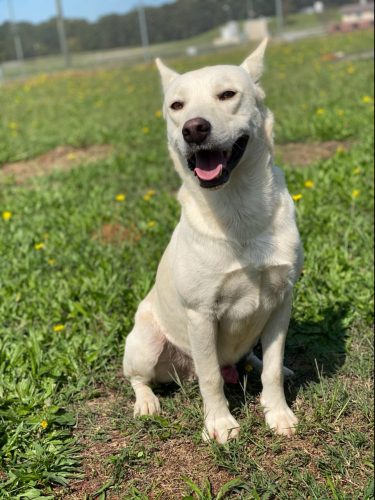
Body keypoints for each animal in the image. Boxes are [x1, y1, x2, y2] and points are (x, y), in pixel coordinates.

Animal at [125, 41, 304, 444]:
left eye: (228, 95)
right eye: (176, 106)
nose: (193, 128)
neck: (237, 210)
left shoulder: (281, 300)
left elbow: (271, 367)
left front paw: (278, 413)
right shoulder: (202, 314)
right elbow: (209, 379)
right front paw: (220, 424)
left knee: (253, 358)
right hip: (146, 343)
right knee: (138, 377)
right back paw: (146, 402)